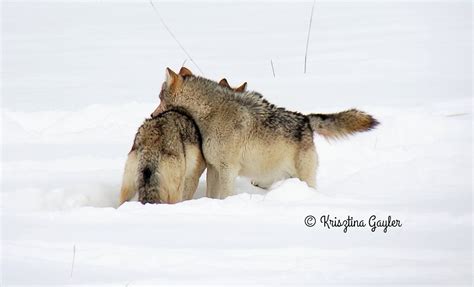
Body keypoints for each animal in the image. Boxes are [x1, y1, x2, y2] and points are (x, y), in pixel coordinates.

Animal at [157, 67, 380, 200]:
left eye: (159, 98)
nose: (152, 114)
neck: (211, 114)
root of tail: (306, 120)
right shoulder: (213, 167)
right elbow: (212, 195)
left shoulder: (229, 169)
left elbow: (226, 195)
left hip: (303, 177)